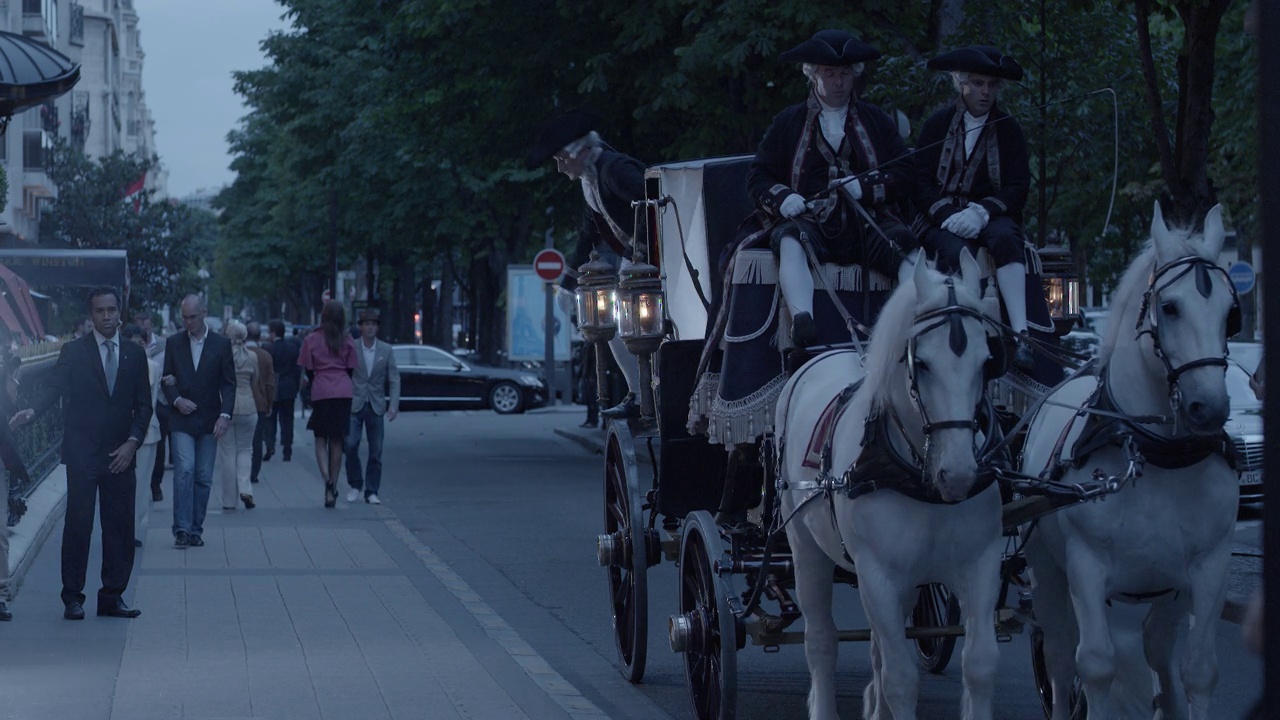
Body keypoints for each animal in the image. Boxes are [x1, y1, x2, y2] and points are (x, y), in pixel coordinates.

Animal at [773, 248, 1003, 717]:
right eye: (922, 363)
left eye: (987, 361)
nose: (958, 475)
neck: (922, 480)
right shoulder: (877, 573)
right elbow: (900, 679)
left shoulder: (982, 563)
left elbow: (980, 664)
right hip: (806, 549)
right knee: (821, 640)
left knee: (878, 644)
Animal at [1018, 202, 1239, 717]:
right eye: (1170, 307)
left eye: (1230, 312)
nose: (1210, 408)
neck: (1159, 456)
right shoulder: (1085, 567)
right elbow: (1096, 665)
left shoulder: (1209, 568)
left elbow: (1198, 671)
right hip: (1047, 572)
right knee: (1061, 657)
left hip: (1167, 591)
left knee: (1157, 649)